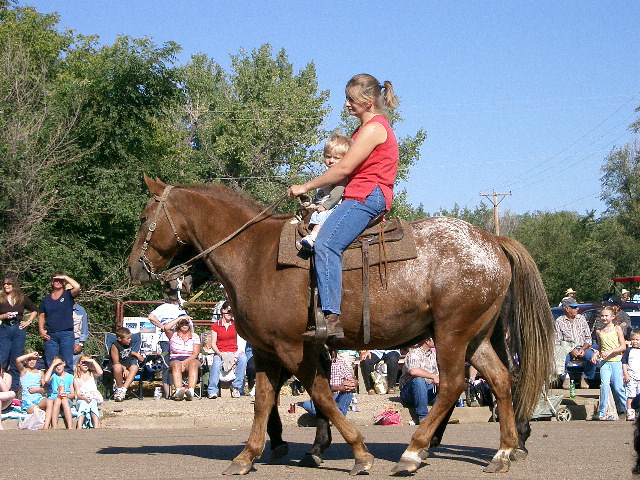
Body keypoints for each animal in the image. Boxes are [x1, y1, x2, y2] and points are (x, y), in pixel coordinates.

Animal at [125, 174, 556, 474]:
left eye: (145, 218)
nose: (133, 269)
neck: (254, 257)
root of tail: (492, 242)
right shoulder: (266, 351)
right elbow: (263, 401)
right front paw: (247, 456)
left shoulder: (294, 347)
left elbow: (322, 396)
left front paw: (358, 453)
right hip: (475, 337)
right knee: (501, 380)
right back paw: (503, 450)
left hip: (452, 334)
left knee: (452, 385)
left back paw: (415, 451)